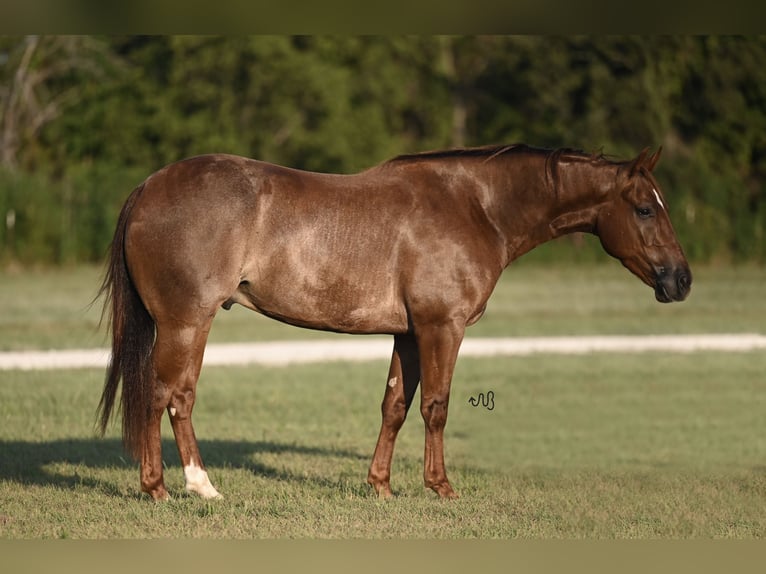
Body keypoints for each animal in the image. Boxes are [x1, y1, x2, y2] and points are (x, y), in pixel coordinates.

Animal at [97, 145, 696, 504]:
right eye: (645, 208)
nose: (681, 280)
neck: (476, 208)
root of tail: (148, 187)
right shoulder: (442, 328)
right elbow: (436, 406)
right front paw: (441, 487)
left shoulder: (408, 334)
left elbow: (395, 406)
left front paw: (381, 486)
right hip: (186, 323)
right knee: (168, 395)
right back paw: (176, 487)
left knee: (170, 397)